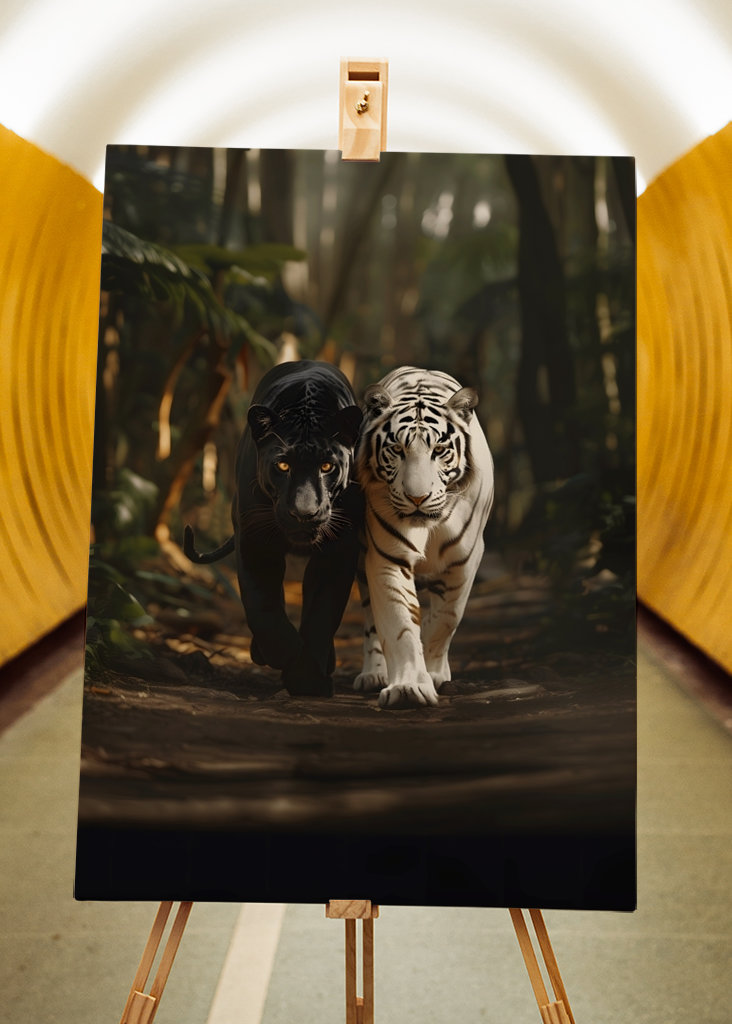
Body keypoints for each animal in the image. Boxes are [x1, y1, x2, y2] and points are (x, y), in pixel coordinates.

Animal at [354, 366, 494, 708]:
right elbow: (400, 624)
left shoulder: (465, 561)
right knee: (371, 623)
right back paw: (374, 674)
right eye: (397, 450)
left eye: (439, 451)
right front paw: (408, 687)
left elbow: (446, 619)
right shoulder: (387, 557)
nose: (417, 498)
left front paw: (432, 673)